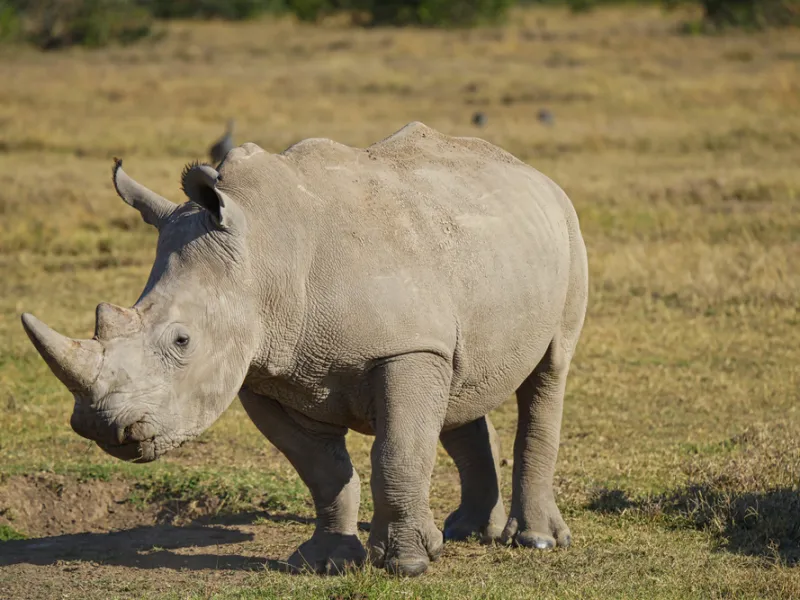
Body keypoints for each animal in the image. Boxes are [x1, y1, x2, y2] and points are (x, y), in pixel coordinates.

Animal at [21, 122, 588, 577]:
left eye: (182, 341)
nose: (102, 429)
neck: (262, 254)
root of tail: (529, 170)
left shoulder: (405, 350)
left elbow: (397, 452)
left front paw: (406, 565)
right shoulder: (263, 371)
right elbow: (322, 469)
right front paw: (326, 562)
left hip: (567, 226)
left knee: (548, 373)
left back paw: (535, 541)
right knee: (458, 381)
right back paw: (465, 531)